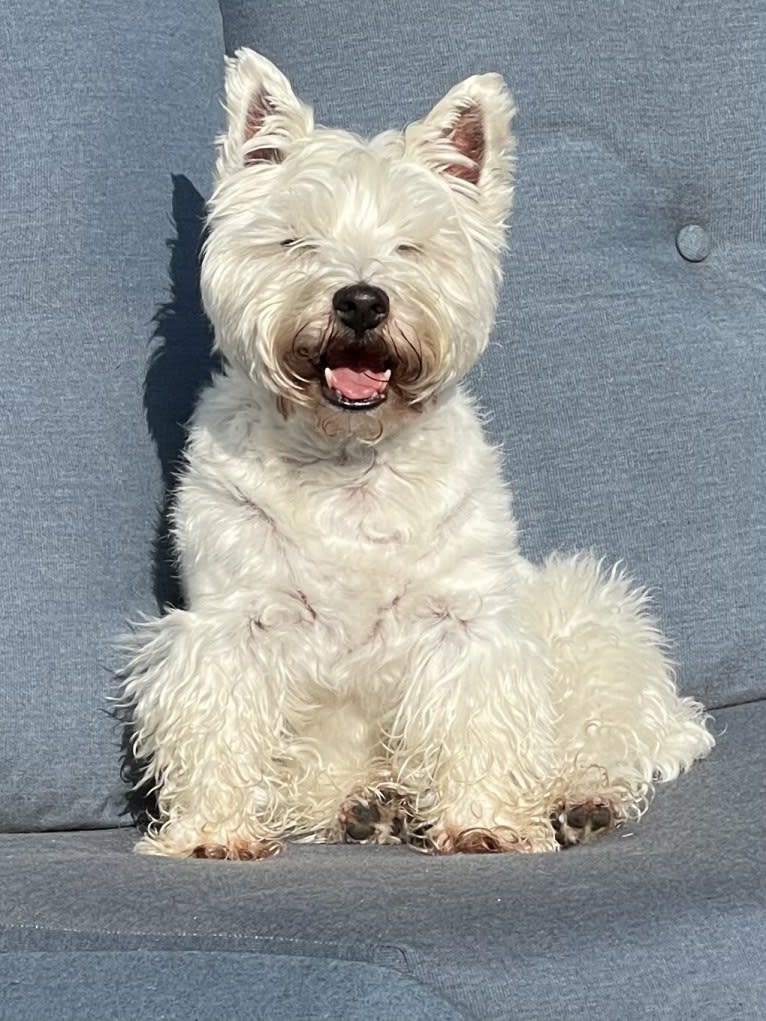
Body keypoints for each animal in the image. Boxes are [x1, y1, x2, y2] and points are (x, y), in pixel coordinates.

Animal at [120, 49, 714, 861]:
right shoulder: (232, 622)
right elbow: (222, 720)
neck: (349, 457)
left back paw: (579, 799)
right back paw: (372, 803)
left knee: (611, 734)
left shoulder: (465, 621)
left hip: (588, 615)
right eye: (297, 241)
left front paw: (486, 821)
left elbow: (480, 717)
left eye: (413, 245)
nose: (361, 300)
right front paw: (215, 829)